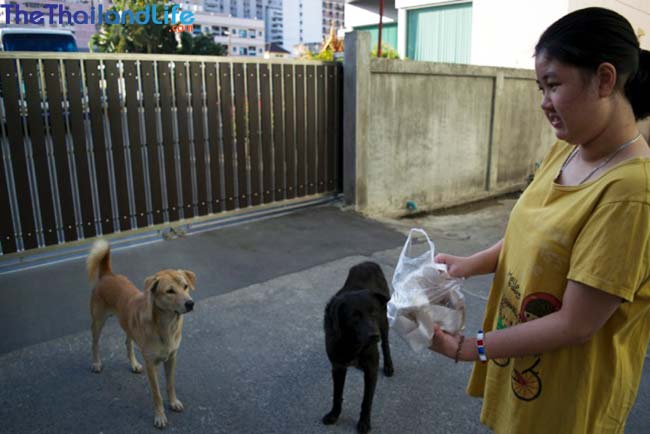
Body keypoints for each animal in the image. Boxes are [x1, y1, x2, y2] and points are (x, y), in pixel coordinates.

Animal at [87, 239, 196, 428]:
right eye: (170, 291)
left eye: (185, 286)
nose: (190, 303)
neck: (166, 325)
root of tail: (108, 275)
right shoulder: (151, 364)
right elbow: (156, 393)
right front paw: (160, 416)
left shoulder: (172, 358)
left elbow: (170, 384)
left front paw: (173, 402)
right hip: (98, 321)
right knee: (95, 343)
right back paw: (96, 363)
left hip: (128, 324)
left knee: (128, 343)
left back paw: (133, 364)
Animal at [322, 262, 392, 434]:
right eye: (354, 317)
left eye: (373, 313)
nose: (374, 336)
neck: (352, 343)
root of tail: (368, 263)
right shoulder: (338, 367)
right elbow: (337, 394)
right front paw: (334, 415)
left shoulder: (371, 369)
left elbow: (366, 400)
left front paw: (364, 423)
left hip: (384, 323)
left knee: (386, 344)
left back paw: (388, 366)